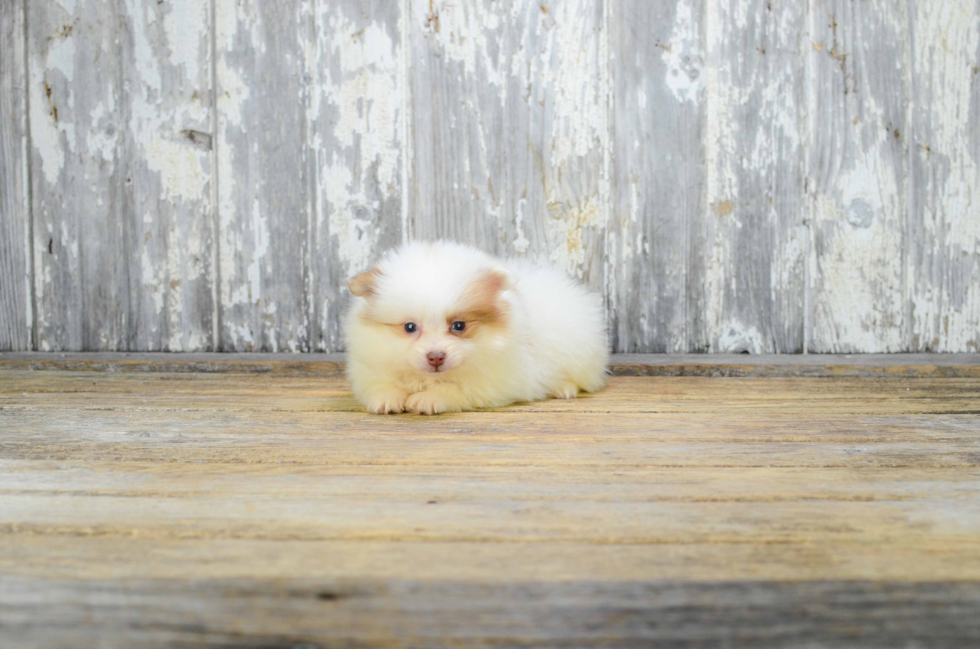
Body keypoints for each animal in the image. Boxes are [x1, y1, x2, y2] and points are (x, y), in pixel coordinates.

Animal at [342, 239, 604, 416]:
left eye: (459, 325)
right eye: (409, 327)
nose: (436, 357)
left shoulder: (497, 381)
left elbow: (456, 388)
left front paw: (428, 398)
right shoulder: (370, 367)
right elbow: (380, 384)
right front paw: (387, 398)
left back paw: (564, 388)